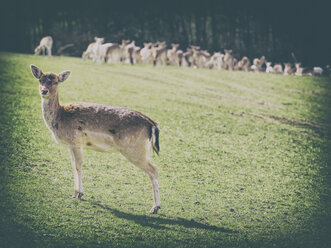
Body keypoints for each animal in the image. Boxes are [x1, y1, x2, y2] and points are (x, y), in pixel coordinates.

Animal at [29, 65, 161, 214]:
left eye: (56, 81)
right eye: (40, 79)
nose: (44, 90)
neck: (59, 118)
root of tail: (152, 124)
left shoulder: (75, 141)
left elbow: (78, 165)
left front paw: (79, 194)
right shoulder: (71, 144)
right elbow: (73, 166)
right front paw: (76, 193)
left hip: (134, 149)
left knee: (154, 170)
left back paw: (155, 208)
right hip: (144, 150)